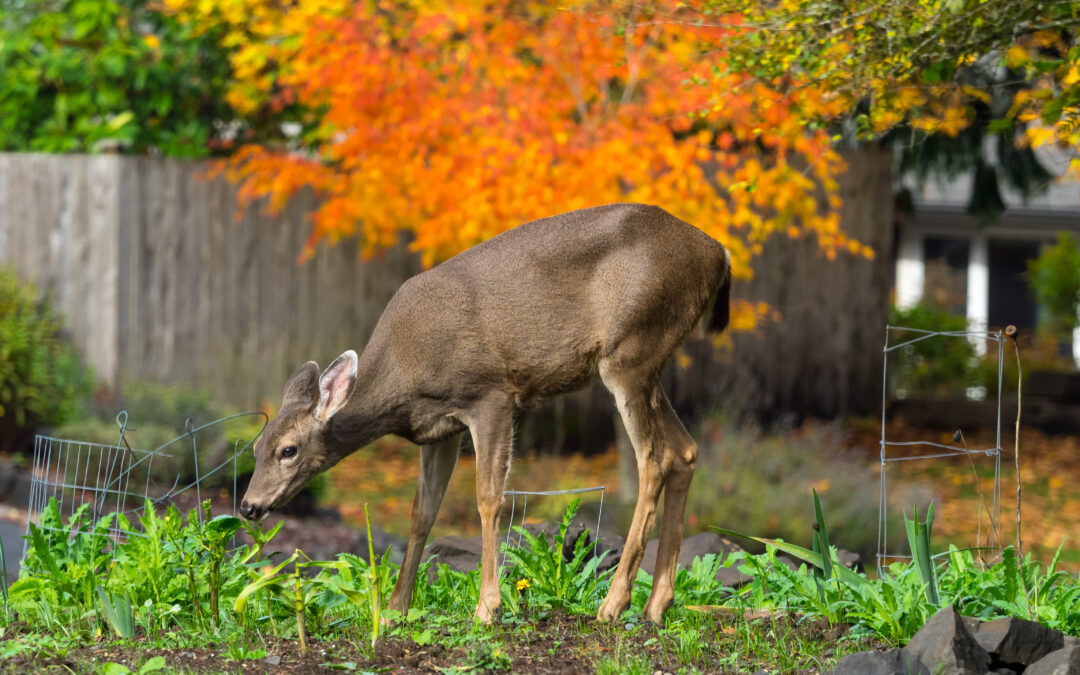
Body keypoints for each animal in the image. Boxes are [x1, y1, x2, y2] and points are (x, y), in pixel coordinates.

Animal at [239, 202, 731, 624]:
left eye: (288, 450)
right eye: (255, 447)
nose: (248, 506)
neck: (404, 377)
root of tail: (718, 253)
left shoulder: (491, 395)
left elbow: (489, 498)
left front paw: (487, 607)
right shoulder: (439, 429)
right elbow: (422, 511)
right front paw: (397, 608)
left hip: (630, 350)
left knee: (654, 458)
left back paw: (613, 604)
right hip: (649, 362)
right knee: (685, 451)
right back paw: (656, 605)